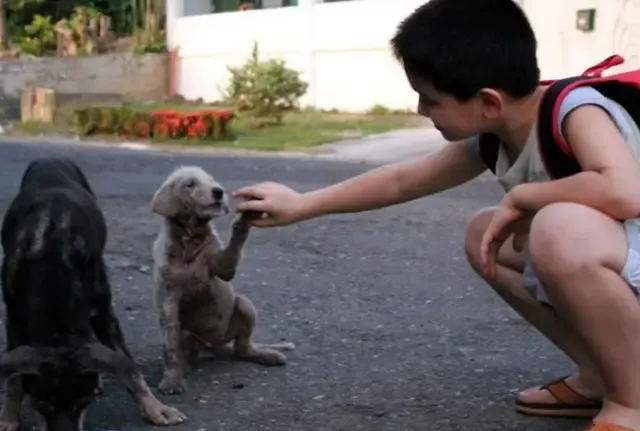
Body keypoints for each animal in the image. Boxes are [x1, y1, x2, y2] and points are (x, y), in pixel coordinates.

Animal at [0, 159, 185, 431]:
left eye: (82, 402)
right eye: (40, 403)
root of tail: (51, 158)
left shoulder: (104, 313)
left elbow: (129, 368)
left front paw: (155, 408)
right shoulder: (14, 317)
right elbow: (14, 376)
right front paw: (9, 415)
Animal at [151, 167, 294, 396]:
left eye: (211, 180)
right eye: (190, 184)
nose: (218, 191)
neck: (191, 241)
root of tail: (214, 345)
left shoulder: (224, 268)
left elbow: (233, 249)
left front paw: (247, 214)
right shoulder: (168, 301)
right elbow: (170, 347)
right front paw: (172, 380)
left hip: (244, 306)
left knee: (243, 348)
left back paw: (266, 355)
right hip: (188, 334)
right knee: (189, 351)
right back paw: (186, 365)